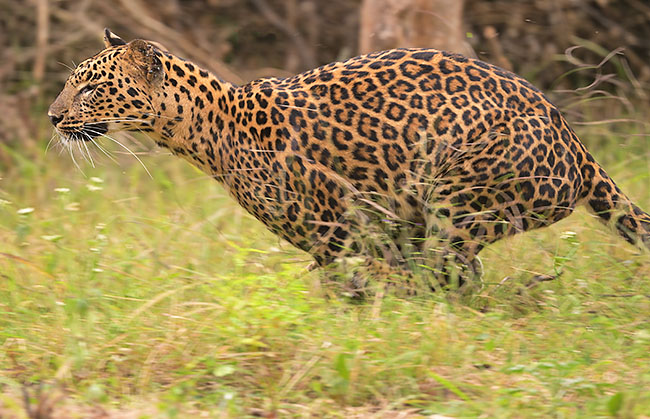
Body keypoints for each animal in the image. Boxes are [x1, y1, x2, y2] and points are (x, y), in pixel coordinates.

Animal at [48, 29, 650, 291]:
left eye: (90, 89)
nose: (54, 117)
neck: (205, 130)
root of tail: (573, 141)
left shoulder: (341, 226)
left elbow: (339, 279)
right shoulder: (383, 227)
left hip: (460, 196)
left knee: (451, 270)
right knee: (459, 273)